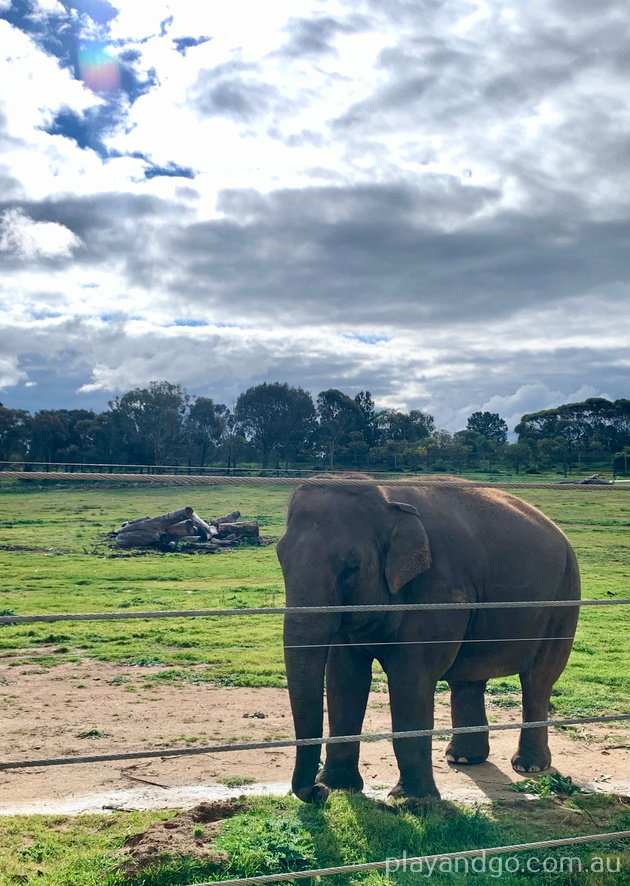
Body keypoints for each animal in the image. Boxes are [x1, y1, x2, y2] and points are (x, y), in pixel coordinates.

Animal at [276, 477, 580, 803]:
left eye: (351, 567)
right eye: (281, 558)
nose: (315, 793)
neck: (388, 498)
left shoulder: (438, 593)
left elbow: (410, 680)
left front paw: (410, 802)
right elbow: (344, 679)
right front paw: (338, 787)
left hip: (563, 601)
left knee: (537, 681)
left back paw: (529, 766)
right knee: (468, 678)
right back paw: (463, 758)